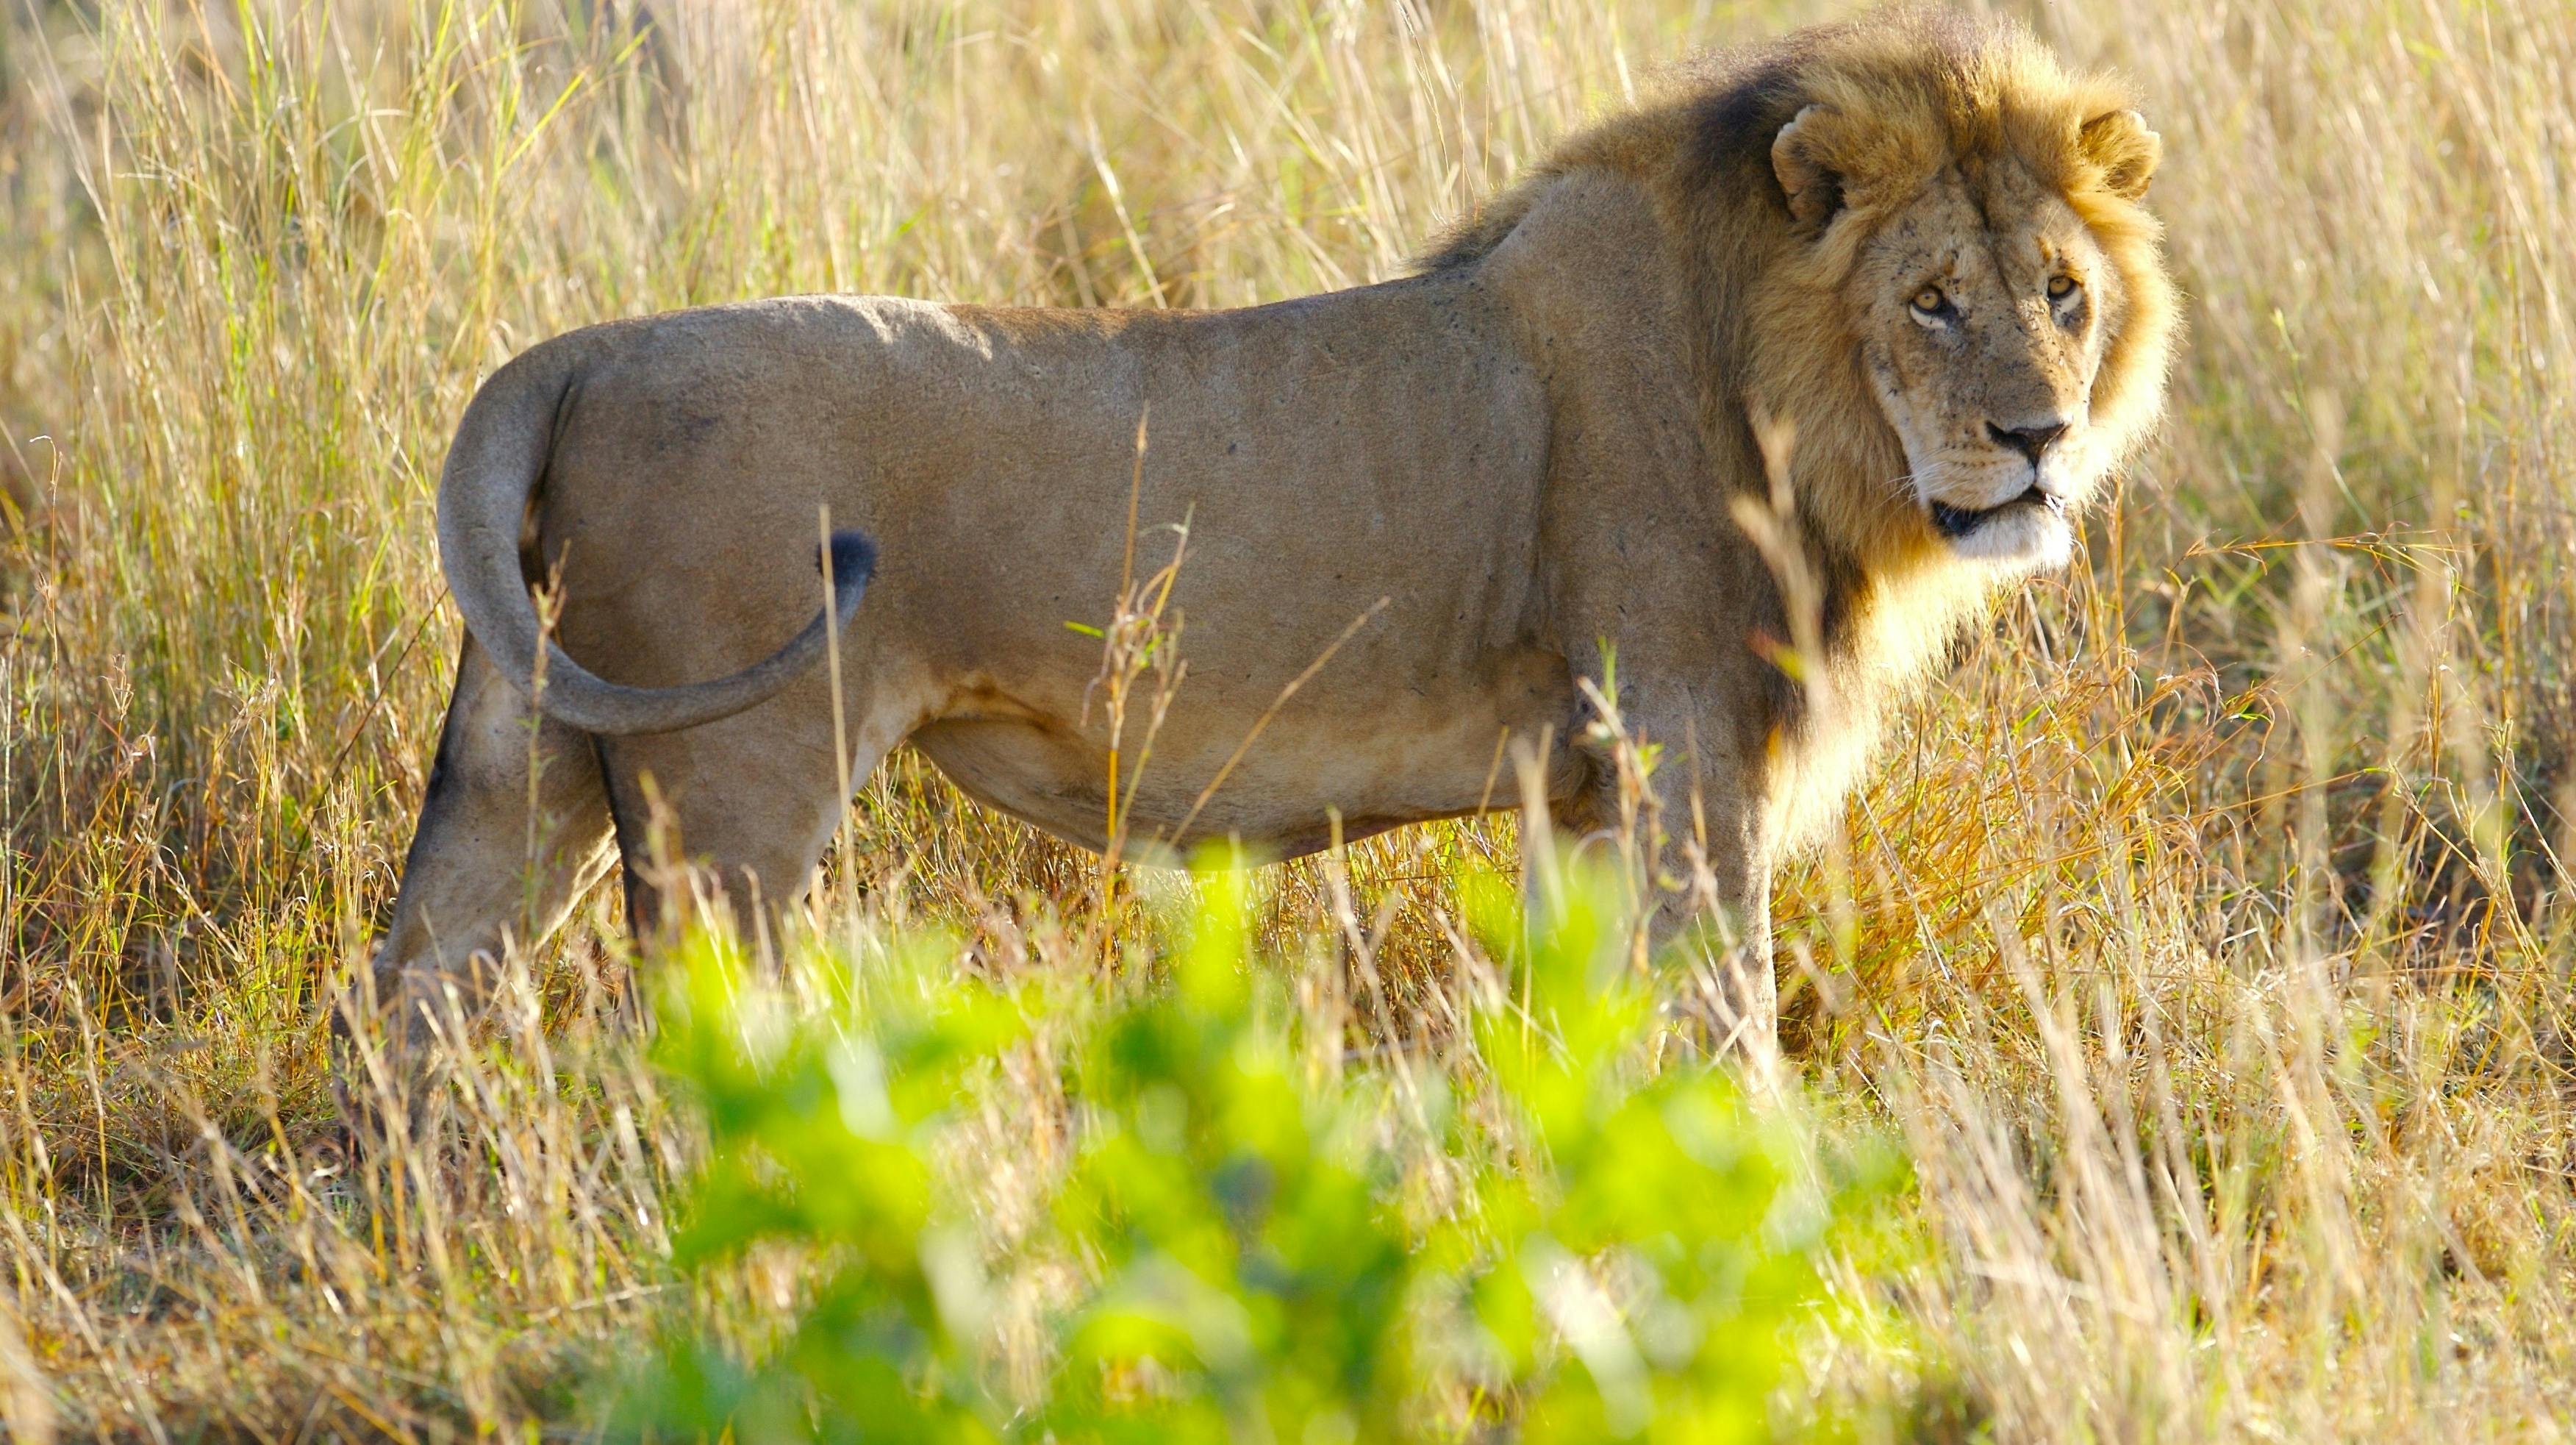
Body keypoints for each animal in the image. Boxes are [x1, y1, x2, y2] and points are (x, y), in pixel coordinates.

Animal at [358, 10, 2174, 1079]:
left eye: (2062, 295)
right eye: (1930, 300)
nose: (2036, 440)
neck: (1787, 398)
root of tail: (570, 354)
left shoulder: (1588, 793)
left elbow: (1594, 1021)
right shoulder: (1683, 752)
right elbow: (1722, 1016)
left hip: (526, 753)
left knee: (415, 983)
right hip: (732, 785)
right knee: (696, 1025)